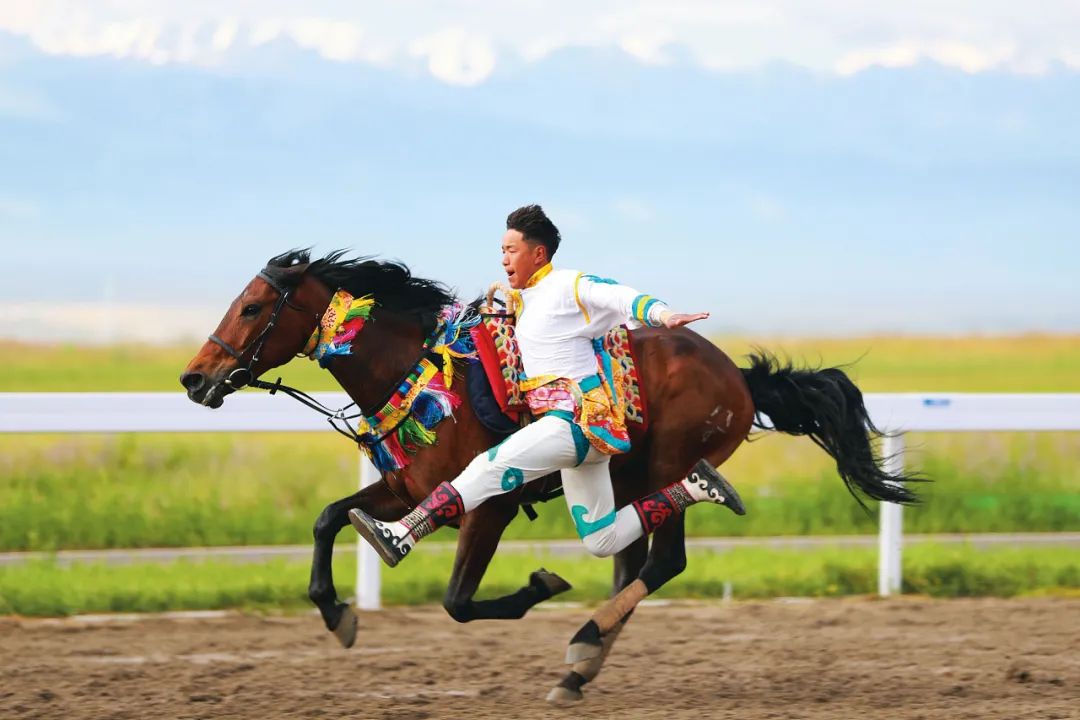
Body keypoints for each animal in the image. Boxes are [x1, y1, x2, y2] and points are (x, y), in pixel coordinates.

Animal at [179, 252, 920, 703]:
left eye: (252, 308)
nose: (194, 378)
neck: (417, 373)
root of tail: (737, 374)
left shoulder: (491, 504)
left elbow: (458, 600)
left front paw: (540, 586)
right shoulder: (403, 489)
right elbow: (331, 517)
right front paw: (337, 612)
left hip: (670, 460)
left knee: (665, 559)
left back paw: (588, 640)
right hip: (625, 479)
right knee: (629, 560)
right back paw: (583, 664)